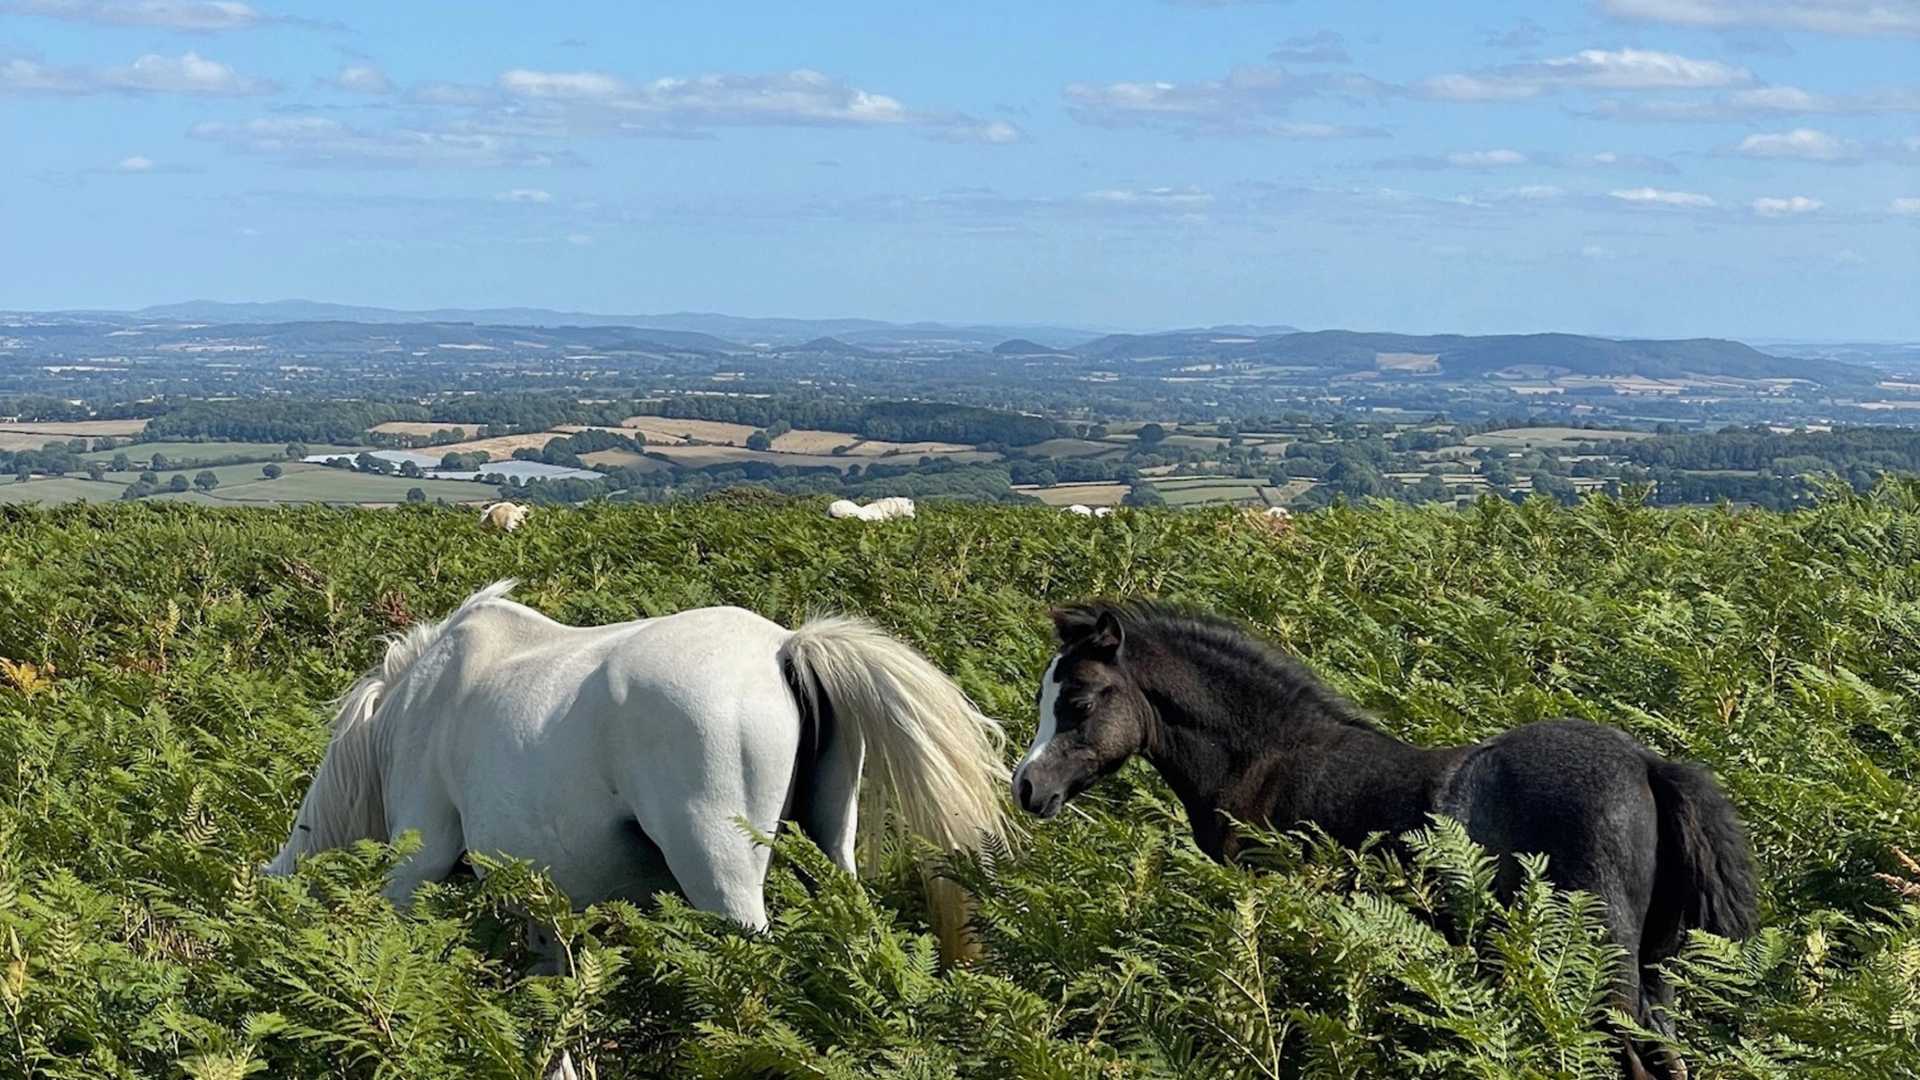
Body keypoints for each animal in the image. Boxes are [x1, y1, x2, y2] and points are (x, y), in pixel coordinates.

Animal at [266, 579, 1008, 971]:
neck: (408, 711)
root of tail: (784, 649)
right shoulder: (544, 900)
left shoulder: (414, 870)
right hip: (829, 848)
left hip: (723, 875)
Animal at [1013, 601, 1756, 1080]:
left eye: (1078, 702)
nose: (1026, 785)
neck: (1265, 756)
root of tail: (1646, 763)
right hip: (1652, 978)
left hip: (1602, 973)